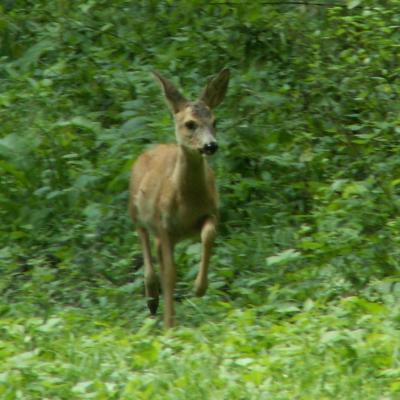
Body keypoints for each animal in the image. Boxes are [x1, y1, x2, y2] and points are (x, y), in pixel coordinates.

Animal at [130, 67, 230, 326]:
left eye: (215, 121)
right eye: (190, 124)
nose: (211, 145)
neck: (187, 203)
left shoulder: (212, 212)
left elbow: (208, 235)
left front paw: (199, 288)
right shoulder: (164, 225)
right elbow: (170, 274)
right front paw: (169, 325)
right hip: (135, 212)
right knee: (145, 243)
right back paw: (152, 298)